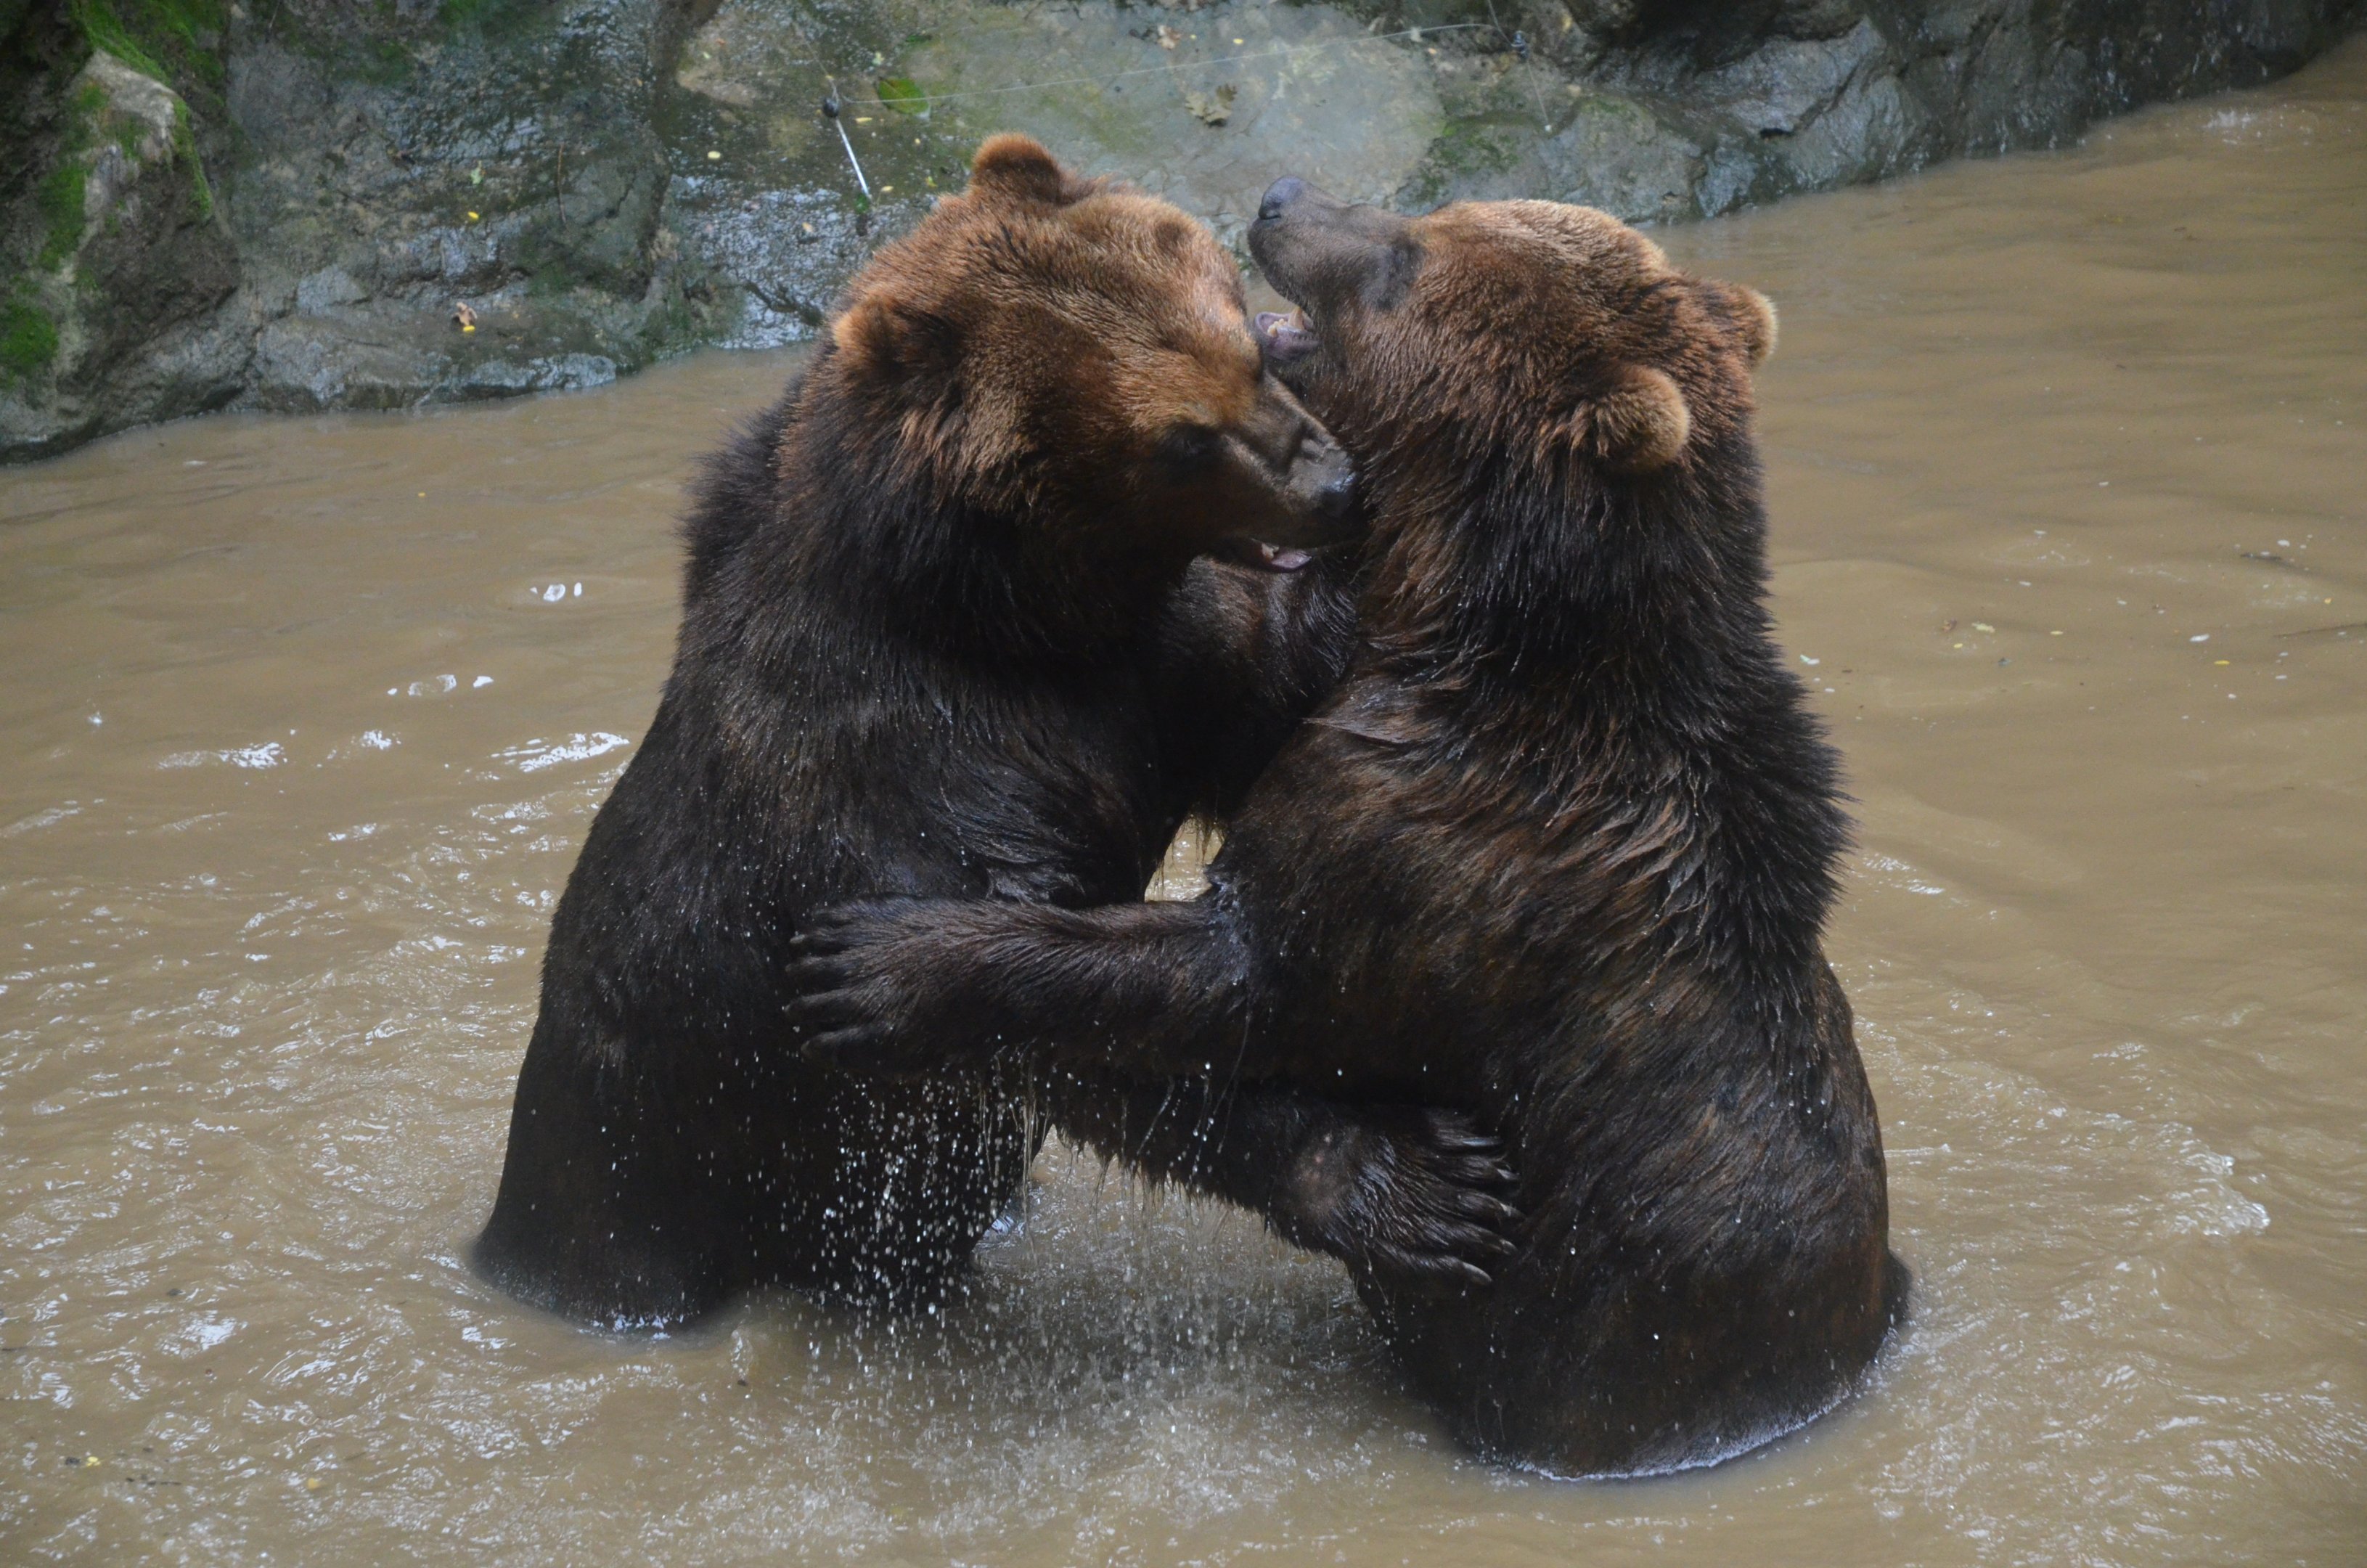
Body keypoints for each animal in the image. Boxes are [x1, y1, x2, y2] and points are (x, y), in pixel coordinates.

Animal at [473, 139, 1521, 1333]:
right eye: (1181, 440)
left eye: (1247, 348)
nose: (1338, 488)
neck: (1001, 610)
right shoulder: (913, 780)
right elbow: (1062, 1027)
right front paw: (1414, 1183)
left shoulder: (1149, 672)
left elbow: (1260, 694)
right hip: (633, 1182)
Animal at [782, 175, 1905, 1476]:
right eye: (1444, 212)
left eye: (1408, 257)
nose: (1280, 197)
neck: (1477, 636)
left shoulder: (1442, 846)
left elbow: (1239, 973)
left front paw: (883, 962)